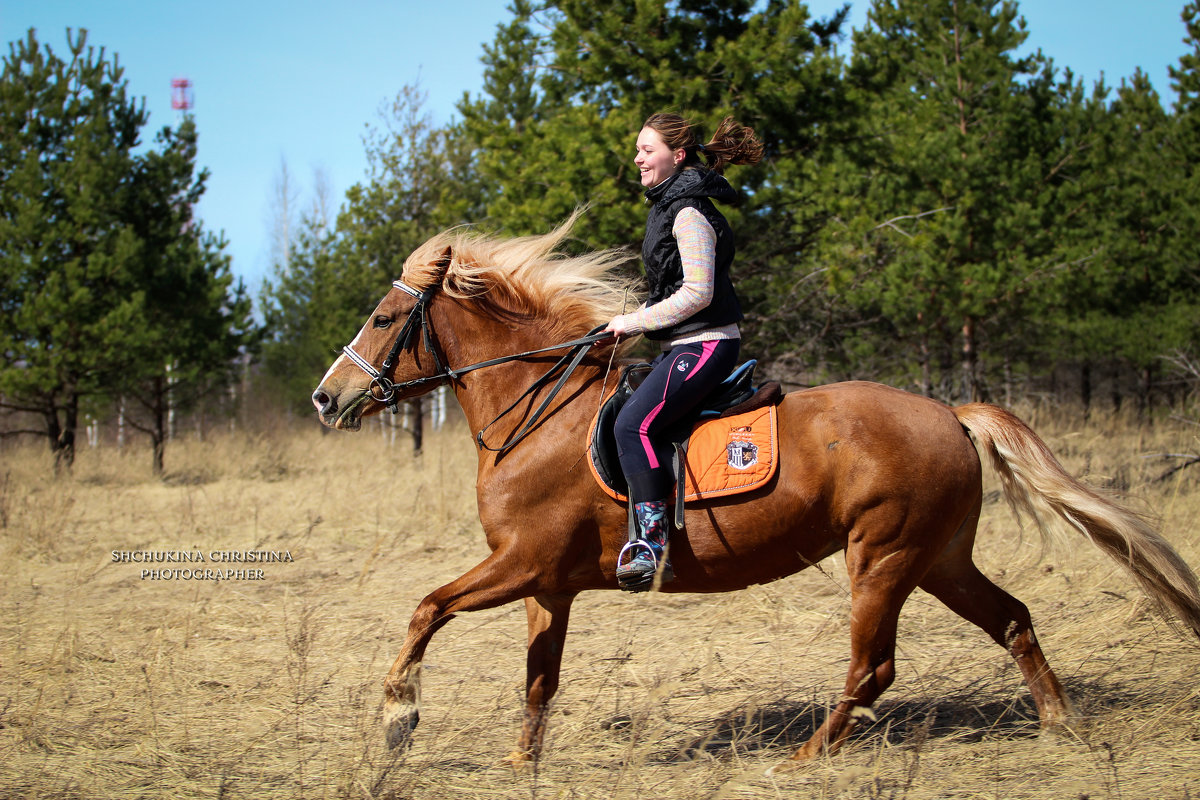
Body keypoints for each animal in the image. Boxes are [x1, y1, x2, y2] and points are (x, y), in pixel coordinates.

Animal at [312, 215, 1200, 767]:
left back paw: (807, 757)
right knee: (1011, 619)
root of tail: (948, 411)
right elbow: (538, 678)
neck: (539, 417)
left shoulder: (521, 564)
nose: (326, 399)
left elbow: (426, 608)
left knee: (873, 667)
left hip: (883, 558)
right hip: (939, 558)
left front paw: (397, 718)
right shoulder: (547, 583)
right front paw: (518, 760)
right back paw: (1059, 726)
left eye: (385, 318)